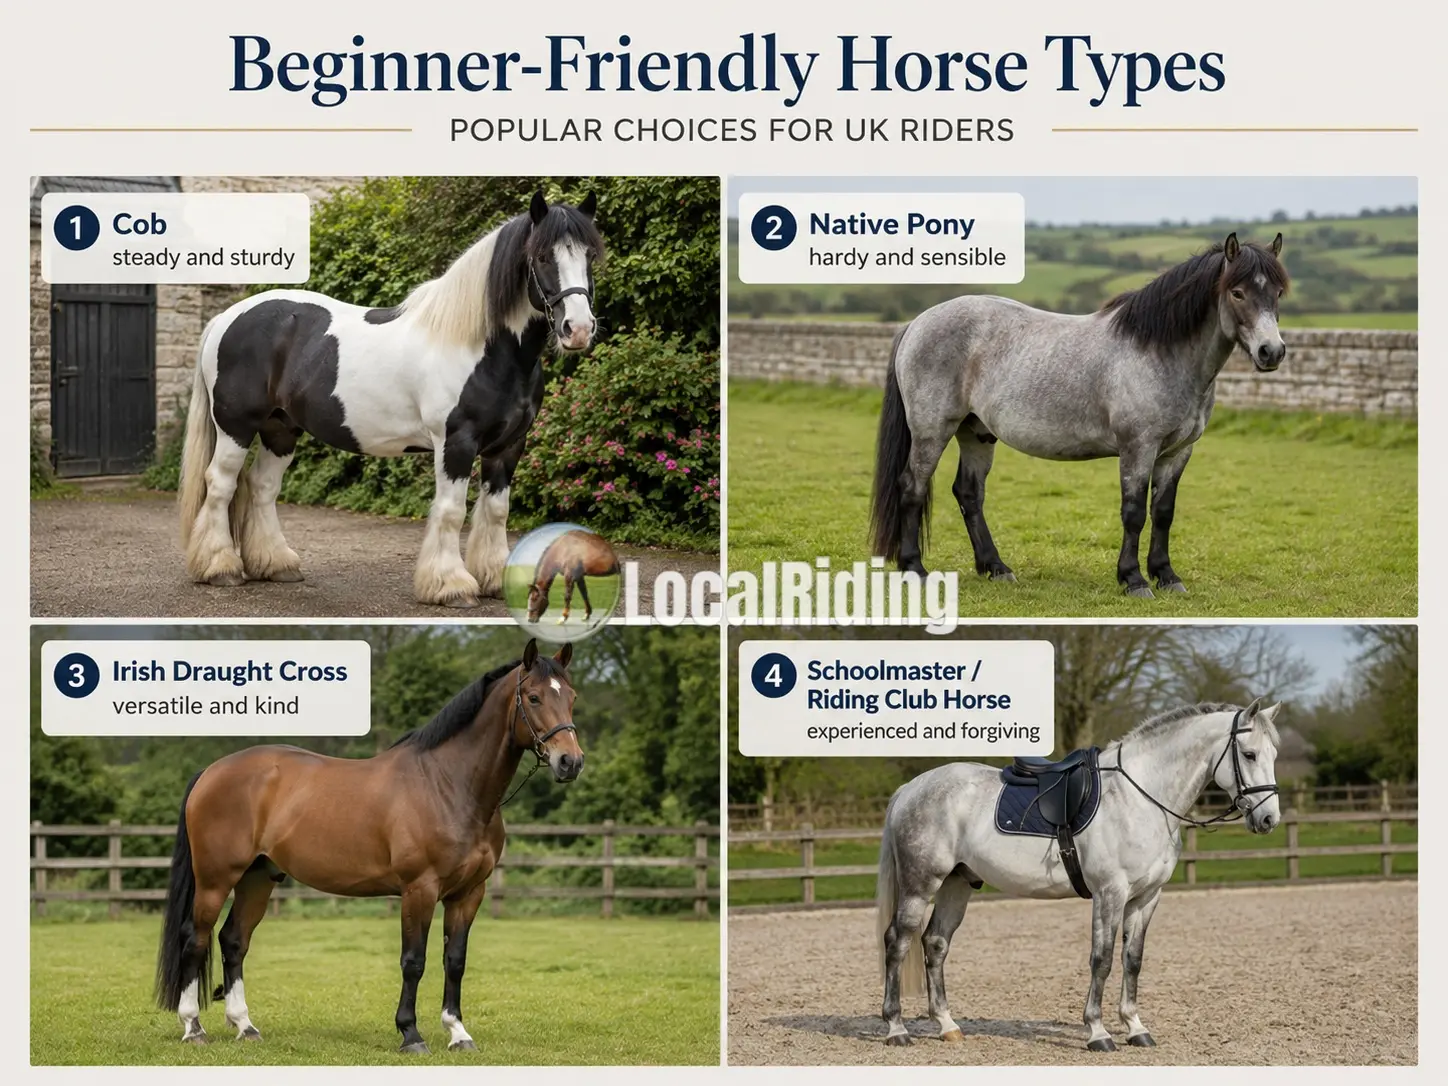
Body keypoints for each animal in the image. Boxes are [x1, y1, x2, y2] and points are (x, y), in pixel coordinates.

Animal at [154, 639, 584, 1053]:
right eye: (533, 697)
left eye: (572, 696)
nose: (571, 762)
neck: (448, 785)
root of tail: (212, 771)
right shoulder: (419, 889)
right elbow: (414, 961)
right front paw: (410, 1034)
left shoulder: (468, 894)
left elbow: (455, 961)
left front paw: (458, 1033)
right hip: (216, 879)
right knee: (195, 939)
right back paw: (193, 1027)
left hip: (258, 878)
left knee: (234, 941)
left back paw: (245, 1026)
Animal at [178, 190, 604, 608]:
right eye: (542, 256)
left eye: (590, 256)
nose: (579, 329)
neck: (482, 349)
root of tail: (227, 317)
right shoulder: (456, 443)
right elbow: (451, 511)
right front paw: (452, 586)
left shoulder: (509, 445)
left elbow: (497, 511)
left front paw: (496, 580)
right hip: (236, 428)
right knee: (220, 484)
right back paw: (220, 568)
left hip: (280, 429)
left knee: (262, 486)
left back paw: (276, 564)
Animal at [870, 233, 1289, 597]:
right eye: (1237, 292)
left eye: (1277, 292)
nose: (1272, 352)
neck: (1160, 352)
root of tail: (917, 323)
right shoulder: (1138, 448)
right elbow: (1134, 512)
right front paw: (1134, 580)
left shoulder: (1177, 452)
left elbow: (1163, 512)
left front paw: (1167, 576)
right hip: (932, 430)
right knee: (912, 487)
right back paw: (915, 569)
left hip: (977, 432)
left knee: (969, 494)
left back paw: (996, 568)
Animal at [875, 699, 1282, 1051]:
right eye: (1249, 755)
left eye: (1274, 755)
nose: (1268, 819)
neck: (1140, 797)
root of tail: (912, 788)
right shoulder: (1110, 893)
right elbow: (1101, 959)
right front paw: (1098, 1032)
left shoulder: (1146, 897)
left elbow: (1133, 960)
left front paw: (1136, 1028)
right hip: (920, 885)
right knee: (897, 942)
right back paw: (896, 1028)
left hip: (957, 884)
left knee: (935, 944)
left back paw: (948, 1025)